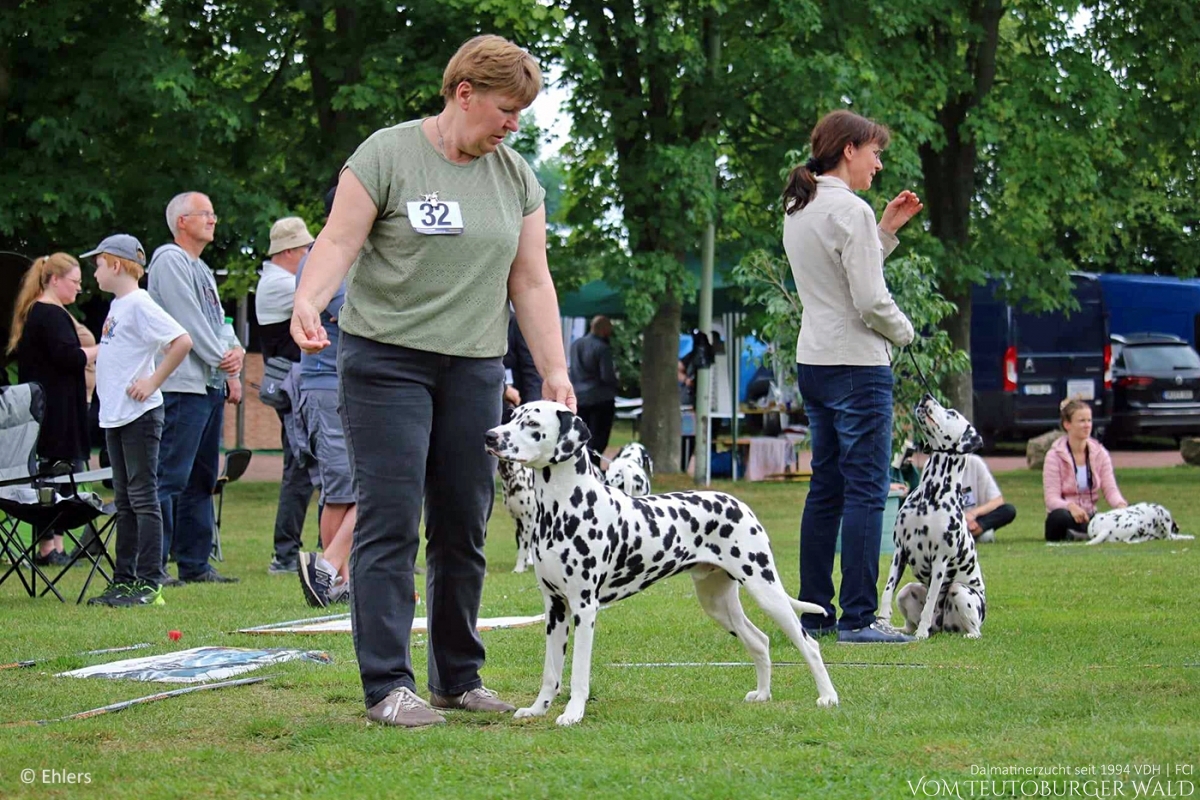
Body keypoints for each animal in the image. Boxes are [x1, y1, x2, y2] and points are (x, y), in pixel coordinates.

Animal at [482, 400, 840, 724]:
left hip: (766, 589)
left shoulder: (584, 608)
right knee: (760, 641)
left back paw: (828, 697)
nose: (490, 435)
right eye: (511, 416)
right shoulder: (555, 607)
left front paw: (573, 714)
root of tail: (739, 504)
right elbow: (551, 673)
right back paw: (763, 694)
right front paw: (537, 709)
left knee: (808, 644)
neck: (564, 506)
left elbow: (578, 674)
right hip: (717, 602)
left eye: (531, 423)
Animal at [878, 395, 988, 642]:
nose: (927, 397)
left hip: (960, 590)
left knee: (974, 629)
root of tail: (942, 625)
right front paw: (881, 622)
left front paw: (921, 633)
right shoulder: (900, 551)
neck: (930, 495)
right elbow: (887, 590)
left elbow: (929, 603)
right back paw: (901, 631)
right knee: (908, 621)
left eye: (953, 413)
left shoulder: (940, 561)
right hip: (907, 590)